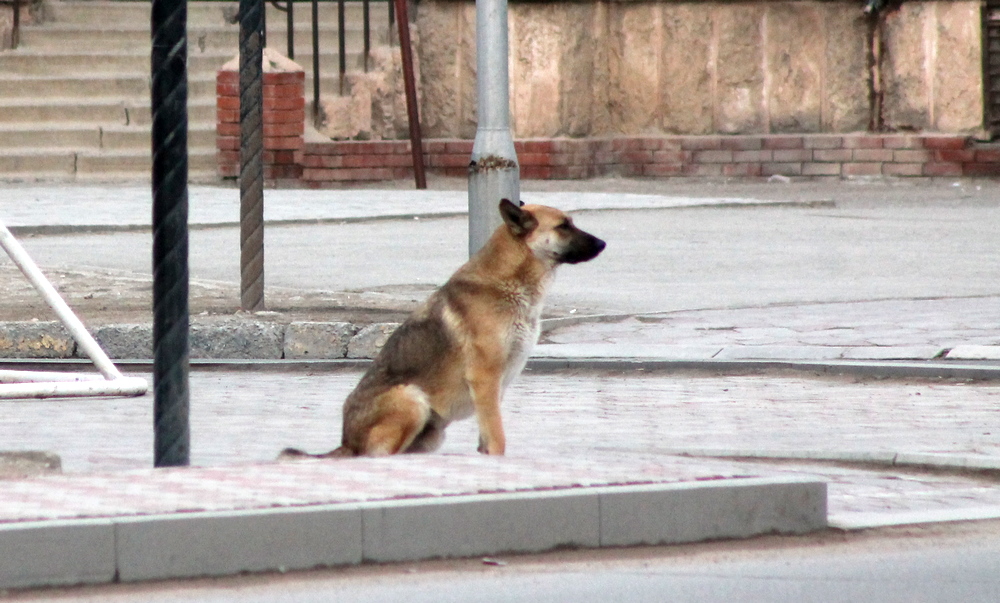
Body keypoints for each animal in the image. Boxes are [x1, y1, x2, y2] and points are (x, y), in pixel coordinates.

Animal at [282, 198, 604, 458]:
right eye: (564, 226)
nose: (603, 244)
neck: (507, 283)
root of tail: (347, 442)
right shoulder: (485, 379)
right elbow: (497, 437)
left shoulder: (493, 389)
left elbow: (487, 437)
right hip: (411, 399)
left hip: (432, 434)